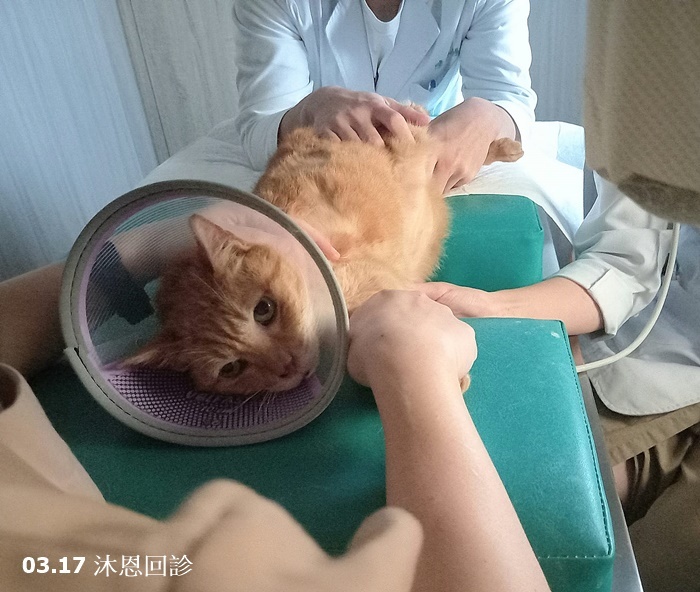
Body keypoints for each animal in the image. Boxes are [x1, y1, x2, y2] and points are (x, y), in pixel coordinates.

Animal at [125, 124, 522, 395]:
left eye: (263, 310)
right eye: (231, 369)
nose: (286, 367)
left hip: (414, 143)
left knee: (444, 134)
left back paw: (507, 145)